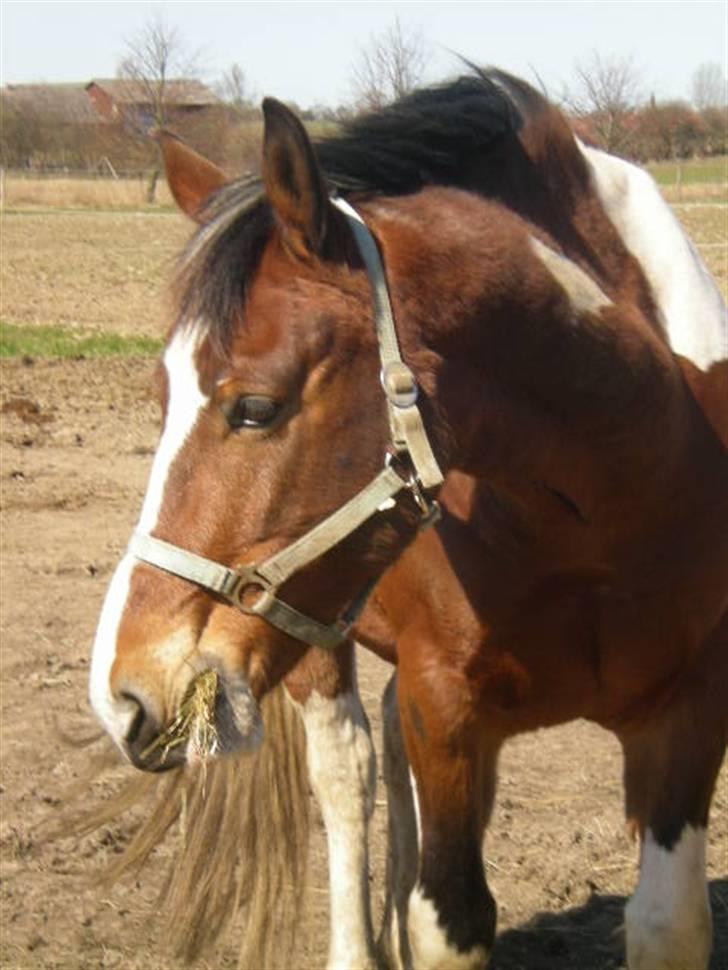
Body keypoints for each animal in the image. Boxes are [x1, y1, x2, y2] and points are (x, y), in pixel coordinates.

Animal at [91, 72, 728, 964]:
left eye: (254, 406)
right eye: (160, 397)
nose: (124, 696)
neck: (600, 510)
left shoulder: (691, 711)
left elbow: (670, 920)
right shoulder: (447, 710)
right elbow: (448, 919)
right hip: (310, 641)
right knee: (348, 773)